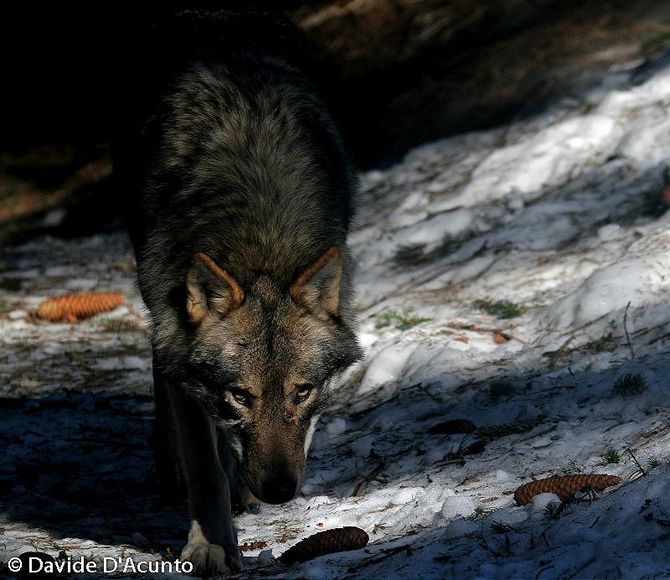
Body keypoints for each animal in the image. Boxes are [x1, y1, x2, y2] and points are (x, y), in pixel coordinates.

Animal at [118, 5, 364, 576]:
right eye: (239, 395)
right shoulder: (178, 341)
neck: (257, 245)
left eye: (302, 391)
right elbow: (205, 465)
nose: (278, 491)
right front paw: (210, 545)